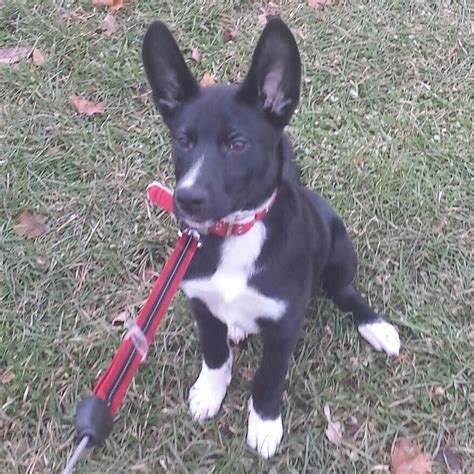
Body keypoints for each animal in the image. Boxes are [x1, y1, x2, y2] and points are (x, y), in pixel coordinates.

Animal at [142, 17, 400, 460]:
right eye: (183, 141)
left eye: (237, 144)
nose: (186, 199)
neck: (238, 232)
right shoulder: (199, 302)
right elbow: (213, 353)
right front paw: (210, 391)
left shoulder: (284, 326)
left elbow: (269, 377)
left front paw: (263, 424)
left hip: (339, 245)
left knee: (344, 291)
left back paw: (375, 326)